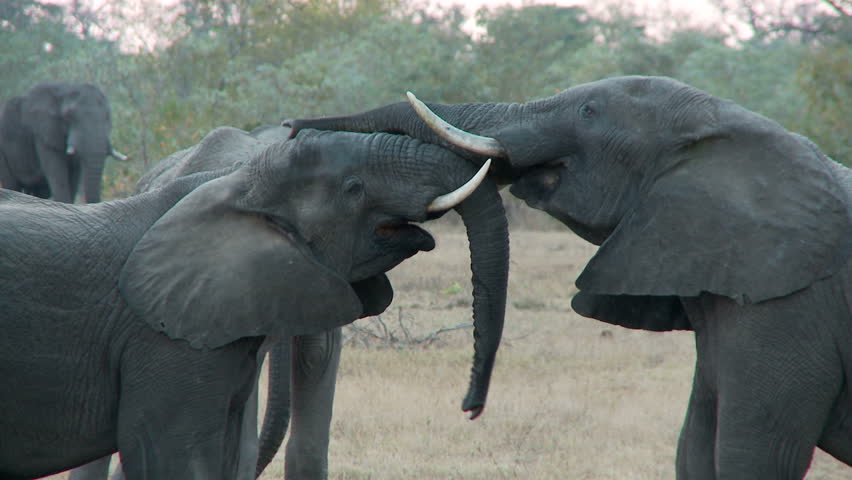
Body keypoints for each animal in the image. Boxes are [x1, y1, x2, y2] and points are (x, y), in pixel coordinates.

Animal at [284, 75, 852, 479]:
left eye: (587, 112)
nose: (291, 127)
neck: (729, 130)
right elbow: (694, 449)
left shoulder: (790, 307)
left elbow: (751, 454)